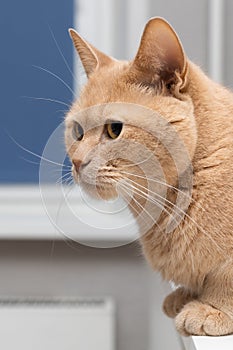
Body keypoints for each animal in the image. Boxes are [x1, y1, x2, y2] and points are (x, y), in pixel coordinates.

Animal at [65, 17, 233, 334]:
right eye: (77, 131)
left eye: (114, 129)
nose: (77, 161)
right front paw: (186, 295)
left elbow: (225, 277)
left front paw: (212, 307)